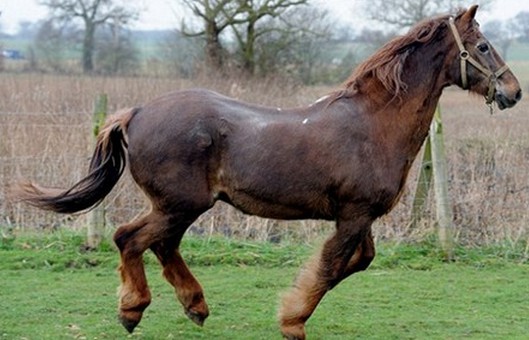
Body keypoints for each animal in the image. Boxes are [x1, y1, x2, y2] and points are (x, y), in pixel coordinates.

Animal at [12, 5, 520, 340]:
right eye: (483, 46)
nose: (513, 91)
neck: (373, 125)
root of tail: (134, 113)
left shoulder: (359, 217)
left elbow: (357, 262)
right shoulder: (354, 215)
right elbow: (332, 266)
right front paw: (292, 321)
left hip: (180, 206)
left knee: (160, 244)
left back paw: (195, 307)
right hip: (180, 204)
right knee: (130, 238)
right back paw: (133, 311)